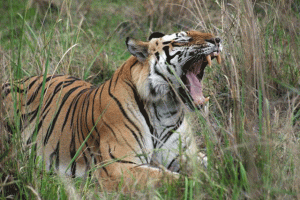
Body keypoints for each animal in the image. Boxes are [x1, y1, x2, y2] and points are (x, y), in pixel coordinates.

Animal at [1, 30, 221, 191]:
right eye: (182, 39)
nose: (217, 39)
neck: (165, 108)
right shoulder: (118, 165)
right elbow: (173, 179)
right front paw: (210, 184)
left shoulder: (184, 154)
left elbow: (213, 164)